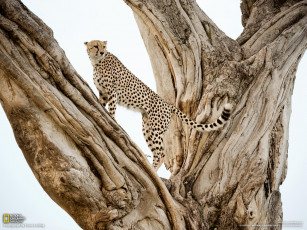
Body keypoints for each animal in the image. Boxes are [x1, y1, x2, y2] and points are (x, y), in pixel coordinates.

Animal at [84, 40, 233, 171]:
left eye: (103, 46)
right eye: (96, 46)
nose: (102, 52)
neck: (97, 63)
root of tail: (168, 104)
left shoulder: (113, 93)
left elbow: (112, 109)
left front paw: (112, 119)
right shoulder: (103, 93)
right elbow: (101, 103)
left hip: (156, 129)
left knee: (161, 152)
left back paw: (153, 170)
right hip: (147, 128)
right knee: (157, 151)